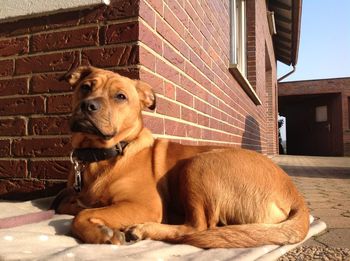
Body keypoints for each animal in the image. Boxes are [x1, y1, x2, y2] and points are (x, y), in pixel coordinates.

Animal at [53, 66, 310, 247]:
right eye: (86, 87)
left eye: (120, 97)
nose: (88, 106)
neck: (98, 154)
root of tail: (295, 194)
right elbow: (68, 205)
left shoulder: (144, 204)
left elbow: (82, 215)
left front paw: (102, 232)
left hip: (198, 165)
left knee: (198, 227)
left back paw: (143, 229)